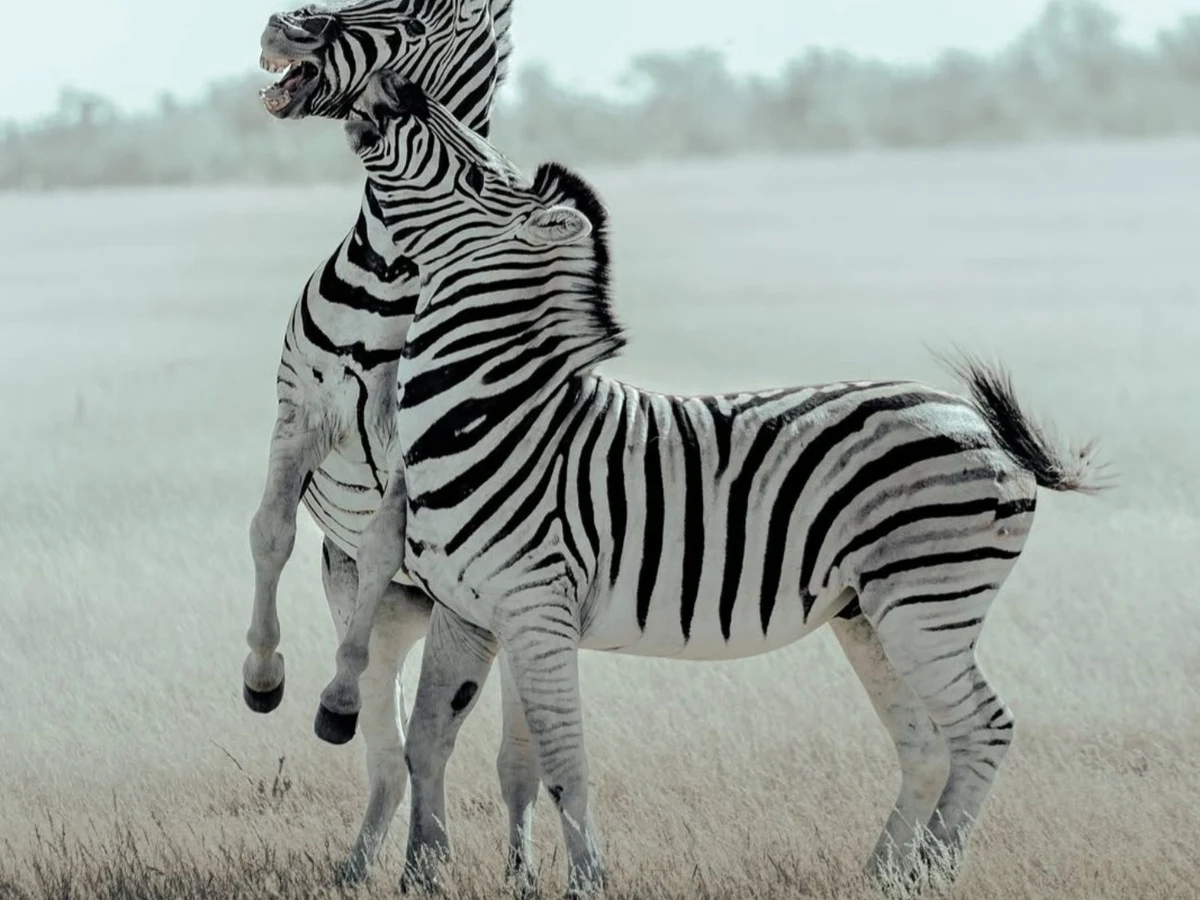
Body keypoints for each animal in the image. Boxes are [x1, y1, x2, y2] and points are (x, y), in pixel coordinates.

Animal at [242, 0, 543, 886]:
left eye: (416, 23)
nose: (285, 26)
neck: (386, 273)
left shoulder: (414, 458)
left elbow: (380, 544)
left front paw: (324, 692)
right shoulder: (297, 417)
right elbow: (268, 531)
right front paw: (262, 674)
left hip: (488, 624)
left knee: (490, 755)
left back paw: (486, 869)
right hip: (389, 614)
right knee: (392, 748)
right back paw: (367, 863)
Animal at [319, 70, 1109, 896]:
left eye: (475, 173)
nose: (393, 87)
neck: (489, 411)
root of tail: (980, 424)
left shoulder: (536, 606)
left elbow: (564, 765)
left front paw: (587, 883)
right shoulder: (473, 611)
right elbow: (432, 740)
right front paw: (422, 874)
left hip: (927, 602)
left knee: (984, 729)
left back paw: (933, 871)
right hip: (870, 612)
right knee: (926, 742)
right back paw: (881, 876)